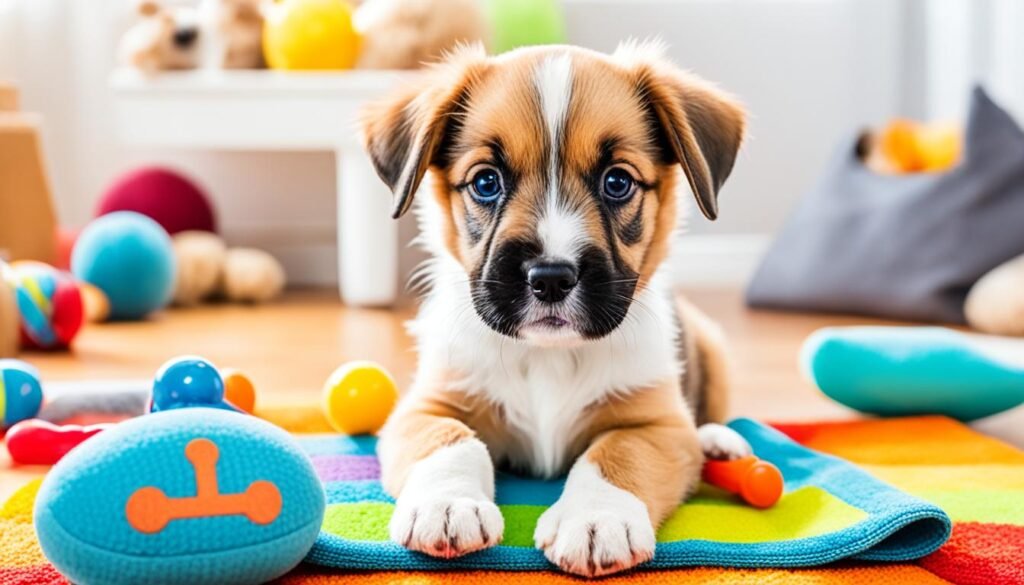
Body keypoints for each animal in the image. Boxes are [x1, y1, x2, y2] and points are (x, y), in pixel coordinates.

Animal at [364, 42, 749, 581]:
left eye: (617, 182)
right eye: (486, 182)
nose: (549, 278)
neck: (547, 355)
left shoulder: (657, 426)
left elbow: (616, 454)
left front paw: (596, 519)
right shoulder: (427, 404)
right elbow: (449, 439)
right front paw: (447, 504)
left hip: (712, 347)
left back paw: (719, 441)